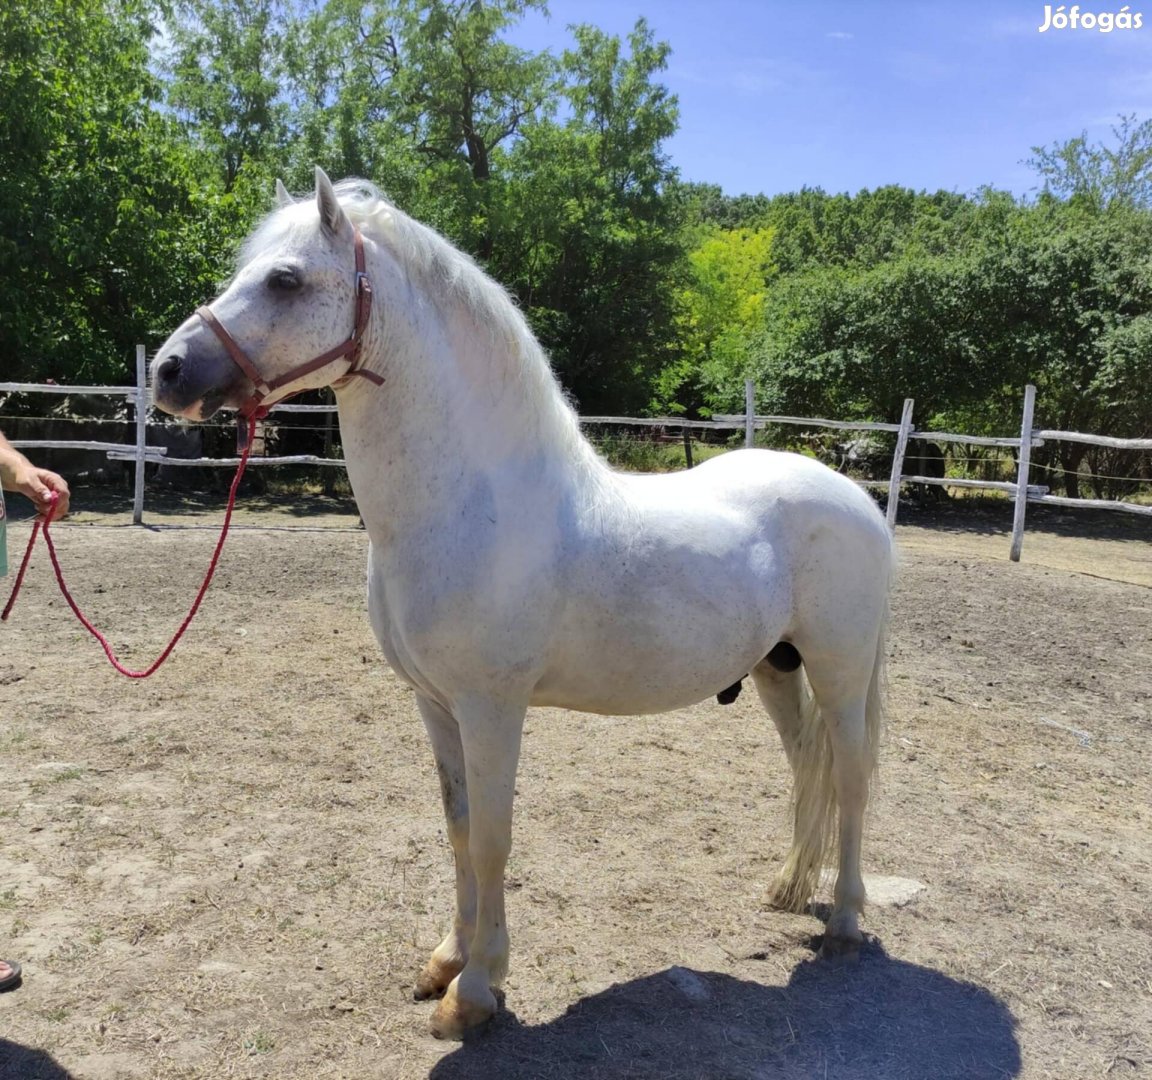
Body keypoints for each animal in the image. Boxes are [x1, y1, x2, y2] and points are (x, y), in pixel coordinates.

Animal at [148, 165, 893, 1036]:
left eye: (285, 279)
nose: (169, 371)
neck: (470, 504)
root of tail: (854, 496)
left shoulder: (492, 707)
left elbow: (494, 840)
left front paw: (475, 992)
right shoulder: (436, 704)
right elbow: (458, 829)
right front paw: (445, 960)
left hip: (840, 670)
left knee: (851, 773)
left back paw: (844, 919)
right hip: (778, 666)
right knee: (807, 761)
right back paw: (787, 890)